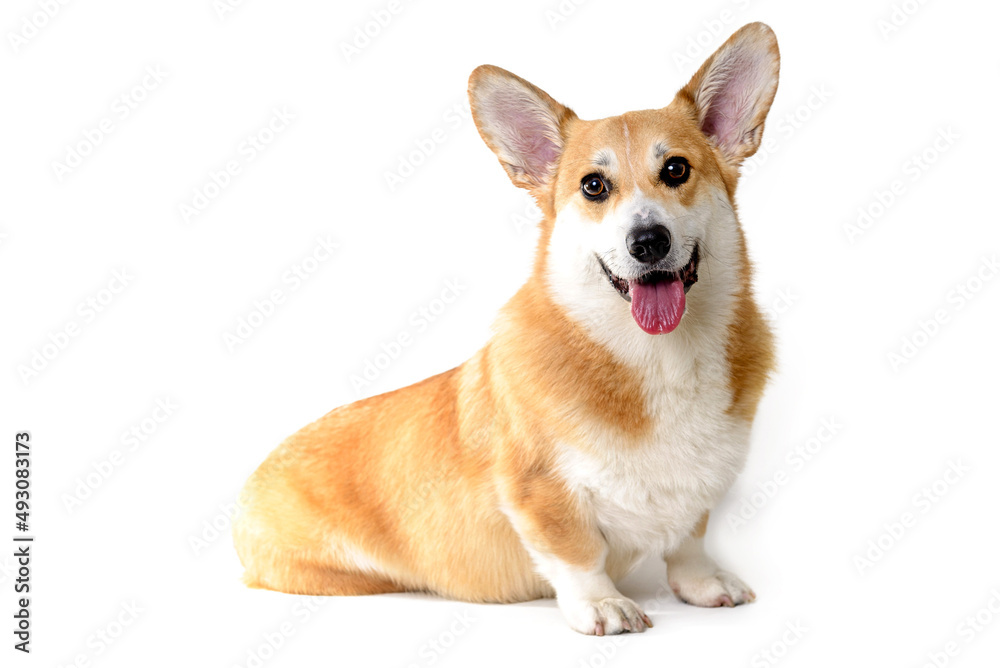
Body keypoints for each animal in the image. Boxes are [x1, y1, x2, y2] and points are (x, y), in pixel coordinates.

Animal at [234, 22, 780, 636]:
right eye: (594, 186)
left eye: (676, 170)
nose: (648, 242)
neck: (658, 358)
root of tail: (254, 475)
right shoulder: (539, 492)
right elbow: (578, 553)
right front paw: (603, 604)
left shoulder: (701, 486)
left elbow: (689, 539)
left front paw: (703, 584)